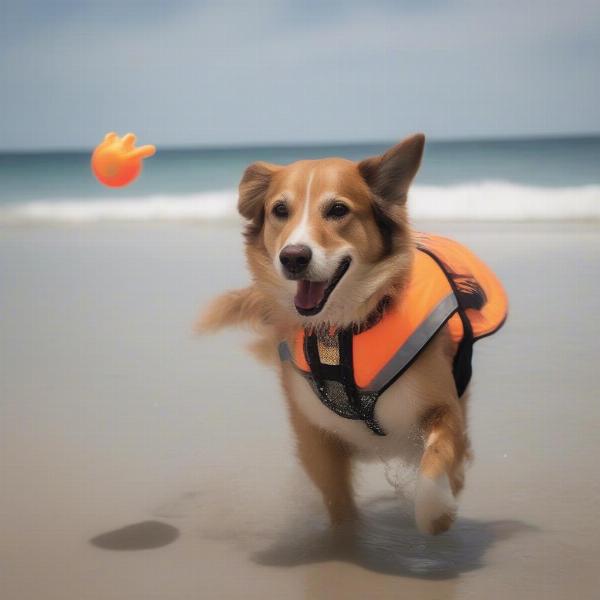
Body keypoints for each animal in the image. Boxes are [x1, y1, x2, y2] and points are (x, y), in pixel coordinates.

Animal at [200, 135, 506, 536]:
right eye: (280, 210)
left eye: (337, 210)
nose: (293, 257)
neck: (339, 330)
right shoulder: (315, 436)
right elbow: (339, 502)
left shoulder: (442, 408)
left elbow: (438, 457)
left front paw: (436, 510)